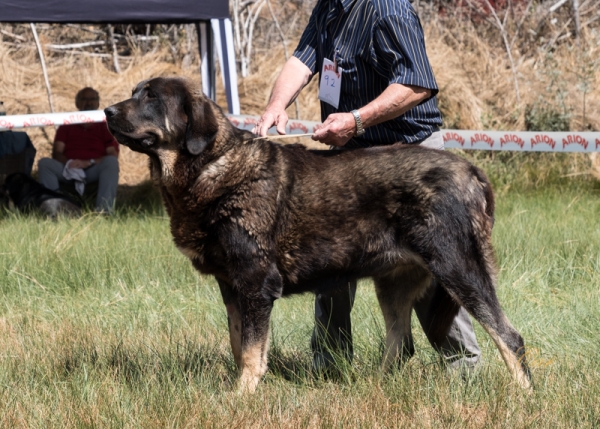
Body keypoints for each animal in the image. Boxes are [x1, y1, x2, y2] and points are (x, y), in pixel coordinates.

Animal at [105, 76, 532, 392]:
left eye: (151, 98)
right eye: (134, 93)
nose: (107, 111)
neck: (210, 166)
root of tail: (471, 171)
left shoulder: (256, 283)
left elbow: (251, 350)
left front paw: (242, 395)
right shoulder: (231, 286)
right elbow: (239, 343)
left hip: (459, 269)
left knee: (509, 337)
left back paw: (523, 396)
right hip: (394, 284)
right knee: (401, 344)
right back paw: (373, 388)